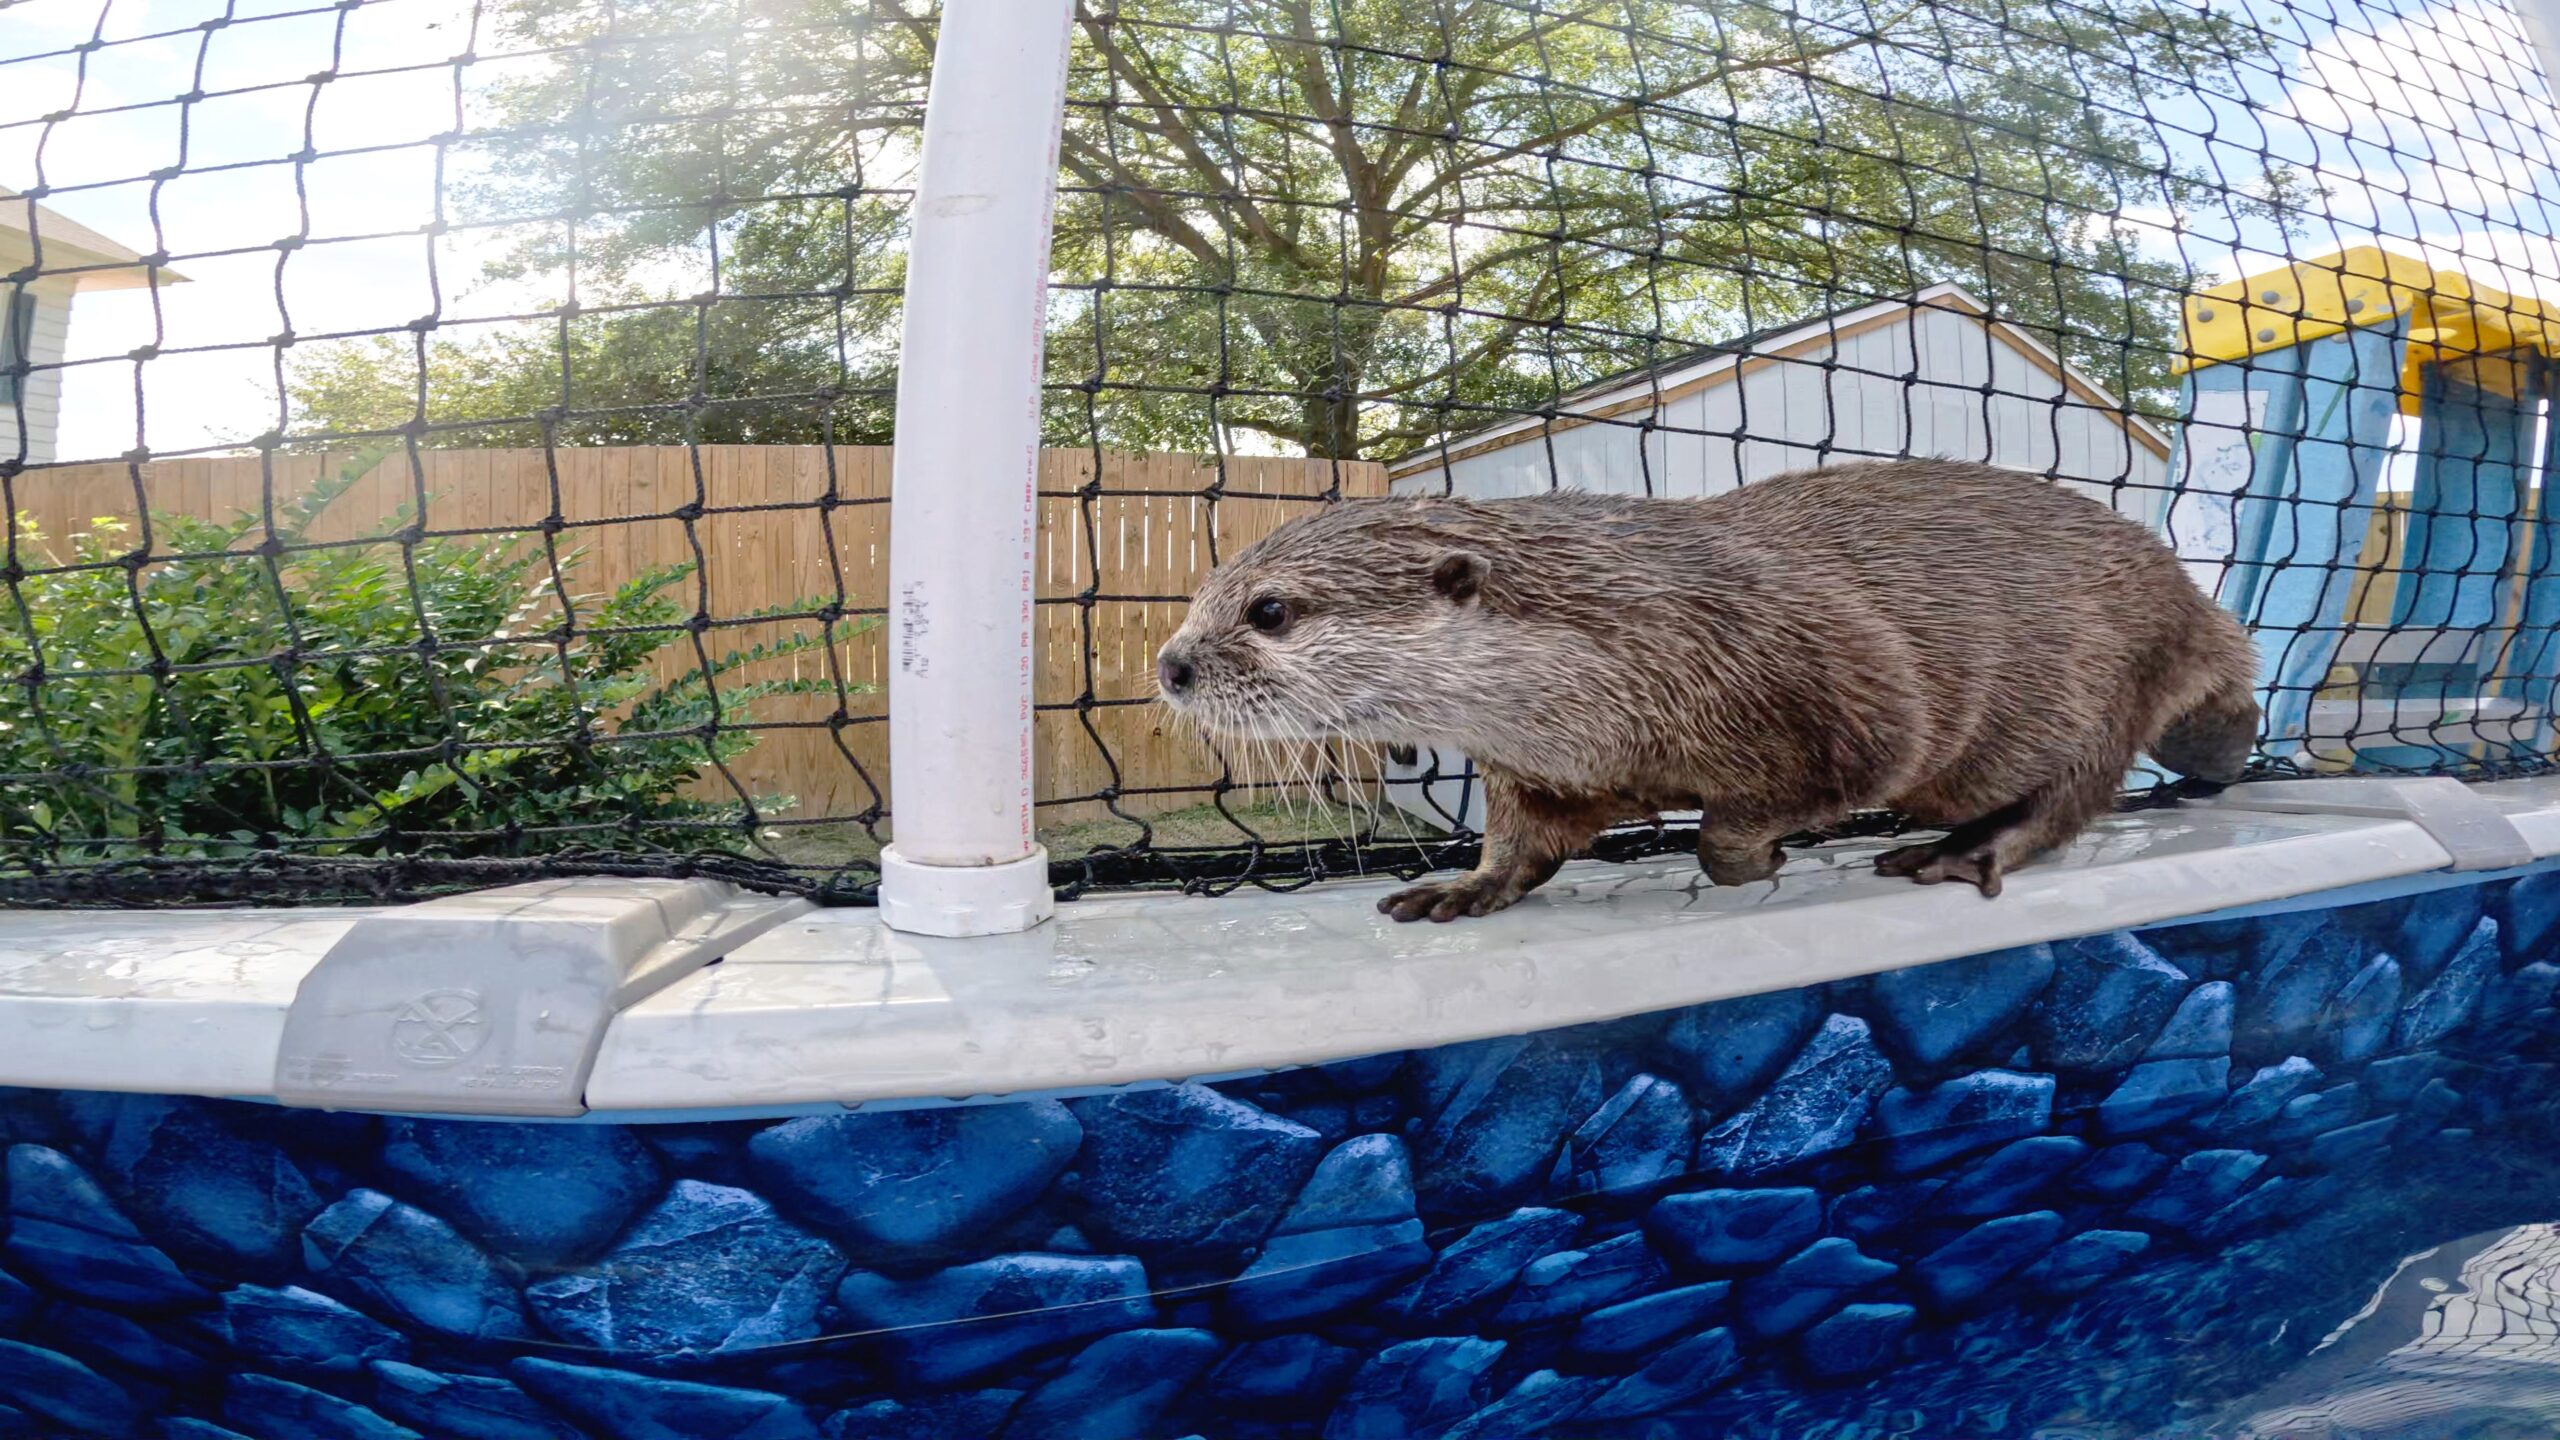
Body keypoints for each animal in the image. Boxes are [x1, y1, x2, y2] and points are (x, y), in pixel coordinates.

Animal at [1155, 460, 2260, 923]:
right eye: (1201, 593)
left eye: (1268, 611)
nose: (1170, 664)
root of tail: (2187, 601)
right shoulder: (1540, 766)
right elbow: (1523, 841)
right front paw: (1465, 887)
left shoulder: (1849, 691)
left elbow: (1799, 797)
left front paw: (1755, 856)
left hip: (2100, 678)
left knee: (2074, 791)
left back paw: (1962, 852)